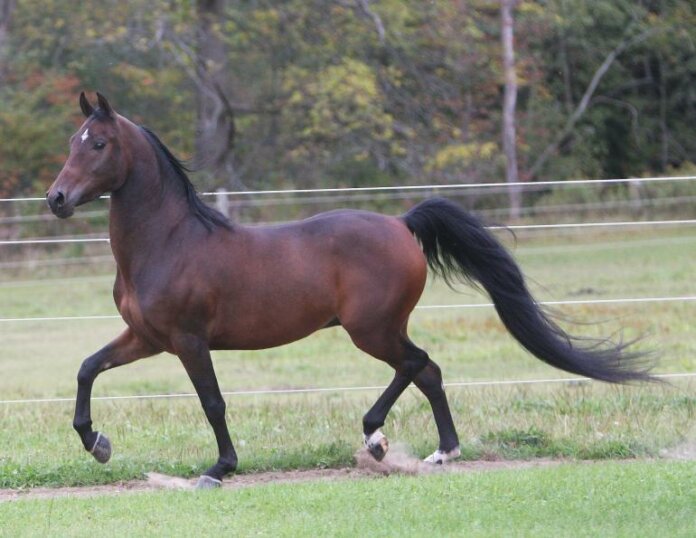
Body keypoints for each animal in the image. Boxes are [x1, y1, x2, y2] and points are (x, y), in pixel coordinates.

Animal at [46, 92, 653, 488]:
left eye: (98, 143)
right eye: (71, 141)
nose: (56, 199)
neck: (169, 240)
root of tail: (402, 224)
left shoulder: (190, 341)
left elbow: (212, 403)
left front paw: (219, 469)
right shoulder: (148, 338)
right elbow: (85, 369)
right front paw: (97, 444)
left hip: (372, 329)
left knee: (417, 364)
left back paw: (379, 439)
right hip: (378, 329)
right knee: (428, 371)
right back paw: (438, 453)